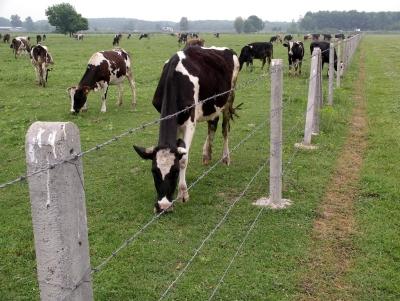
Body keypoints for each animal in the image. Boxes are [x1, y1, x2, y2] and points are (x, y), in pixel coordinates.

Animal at [133, 46, 239, 211]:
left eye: (175, 171)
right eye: (154, 171)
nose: (163, 205)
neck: (175, 78)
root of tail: (227, 49)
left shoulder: (190, 121)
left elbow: (184, 158)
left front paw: (183, 194)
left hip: (229, 97)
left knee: (225, 128)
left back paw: (226, 157)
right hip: (211, 105)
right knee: (212, 125)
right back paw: (207, 155)